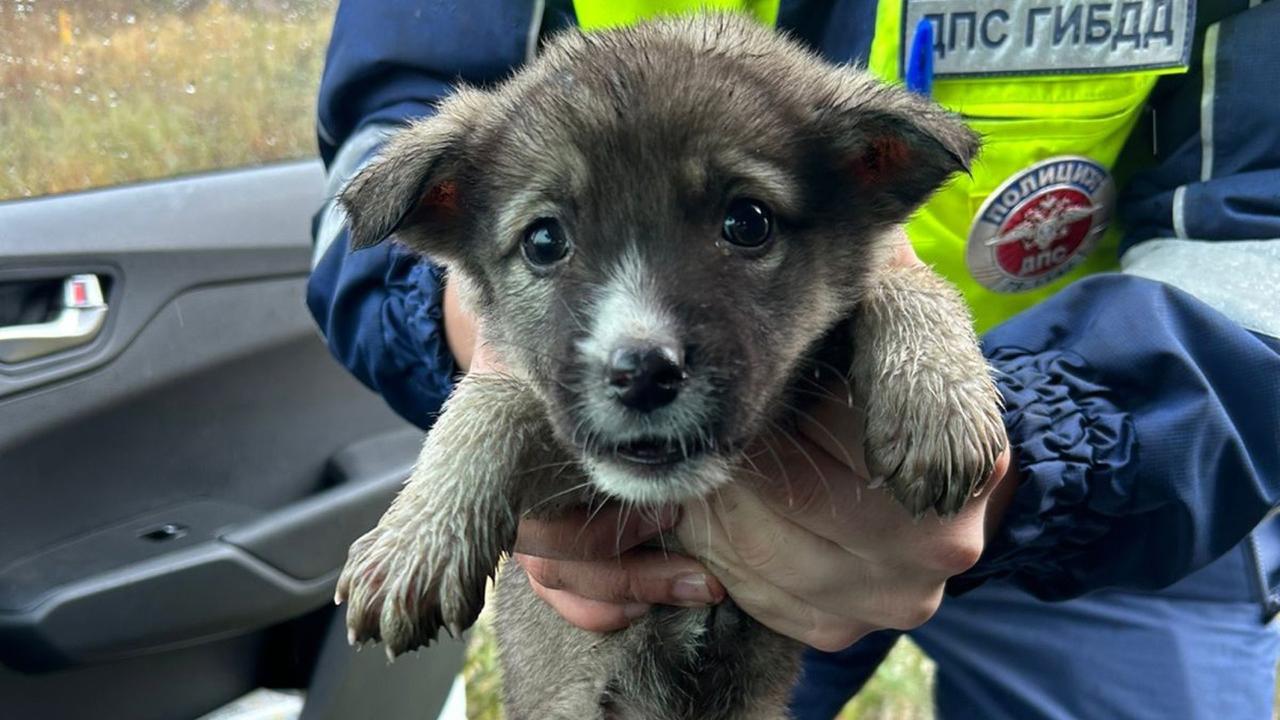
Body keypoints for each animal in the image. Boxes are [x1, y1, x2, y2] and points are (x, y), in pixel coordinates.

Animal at [335, 15, 1003, 717]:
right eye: (544, 240)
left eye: (748, 222)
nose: (644, 374)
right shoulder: (574, 498)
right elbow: (497, 397)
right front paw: (417, 536)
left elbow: (911, 284)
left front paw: (938, 399)